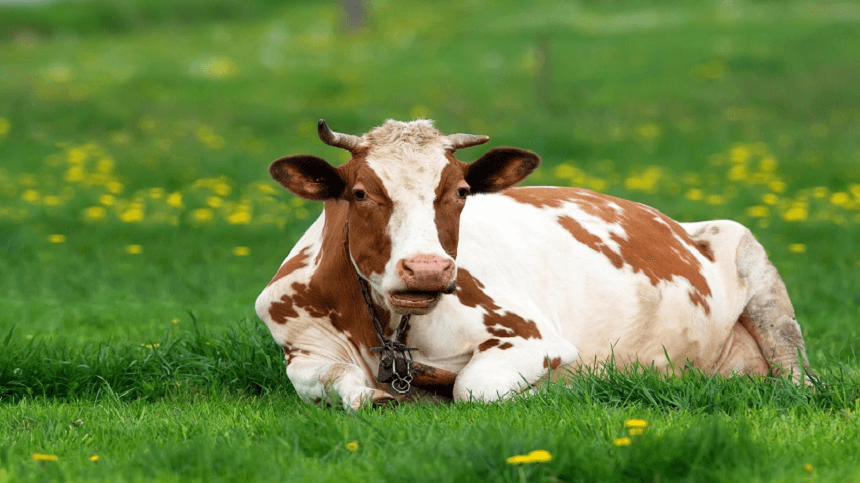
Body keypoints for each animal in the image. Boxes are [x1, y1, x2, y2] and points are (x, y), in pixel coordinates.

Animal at [256, 119, 812, 410]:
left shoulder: (534, 339)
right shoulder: (302, 348)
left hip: (752, 259)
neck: (389, 328)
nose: (428, 269)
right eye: (360, 193)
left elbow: (474, 388)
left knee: (796, 372)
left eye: (460, 192)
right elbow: (336, 386)